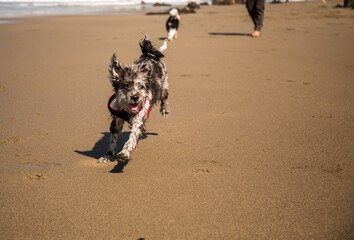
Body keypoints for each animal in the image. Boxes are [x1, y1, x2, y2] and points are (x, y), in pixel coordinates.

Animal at [97, 34, 169, 163]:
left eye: (141, 86)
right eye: (126, 86)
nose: (135, 97)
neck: (128, 111)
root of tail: (148, 55)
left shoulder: (139, 120)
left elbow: (131, 139)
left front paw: (125, 153)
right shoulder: (117, 120)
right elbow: (113, 139)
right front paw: (108, 155)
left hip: (164, 86)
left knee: (164, 97)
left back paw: (164, 109)